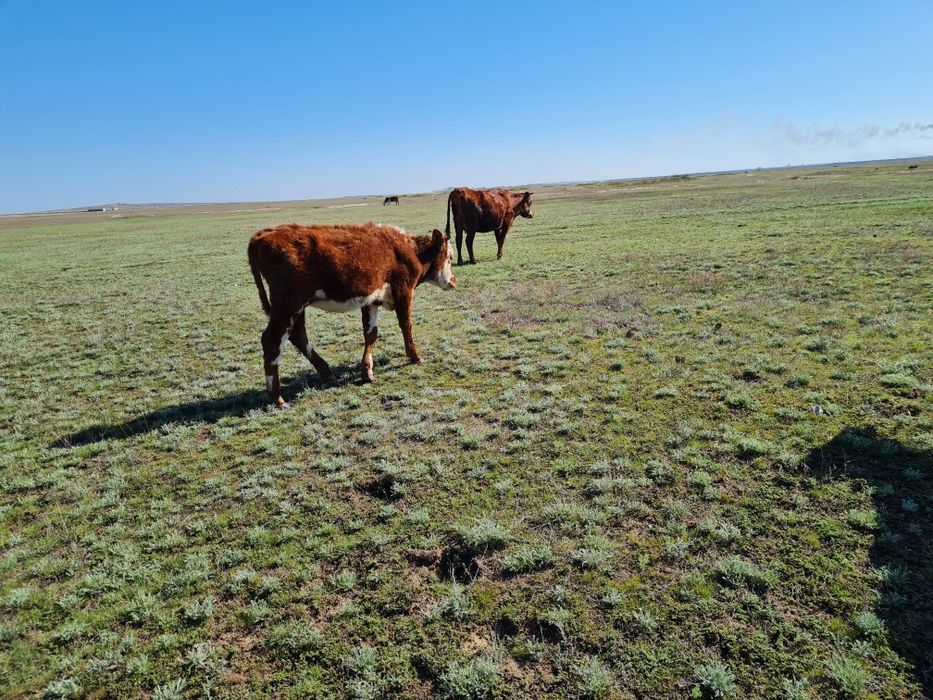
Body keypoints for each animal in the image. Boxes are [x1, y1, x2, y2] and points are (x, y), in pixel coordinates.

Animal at [247, 223, 456, 407]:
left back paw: (326, 373)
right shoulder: (403, 292)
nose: (454, 281)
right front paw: (415, 357)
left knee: (298, 335)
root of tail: (262, 236)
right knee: (272, 341)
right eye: (450, 257)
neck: (410, 251)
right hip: (288, 306)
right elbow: (406, 325)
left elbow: (371, 334)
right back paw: (277, 398)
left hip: (297, 308)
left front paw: (367, 372)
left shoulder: (371, 300)